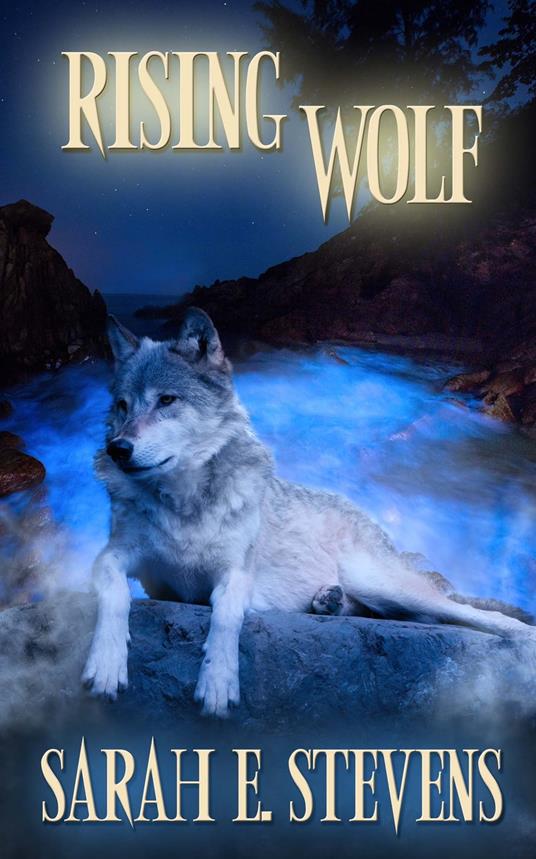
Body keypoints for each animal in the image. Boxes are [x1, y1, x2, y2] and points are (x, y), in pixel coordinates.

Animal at [82, 309, 536, 716]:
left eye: (166, 400)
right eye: (122, 405)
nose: (118, 449)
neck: (183, 502)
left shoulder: (236, 573)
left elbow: (225, 617)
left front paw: (218, 682)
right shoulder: (116, 560)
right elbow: (115, 595)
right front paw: (106, 664)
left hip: (380, 582)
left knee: (470, 613)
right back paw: (328, 602)